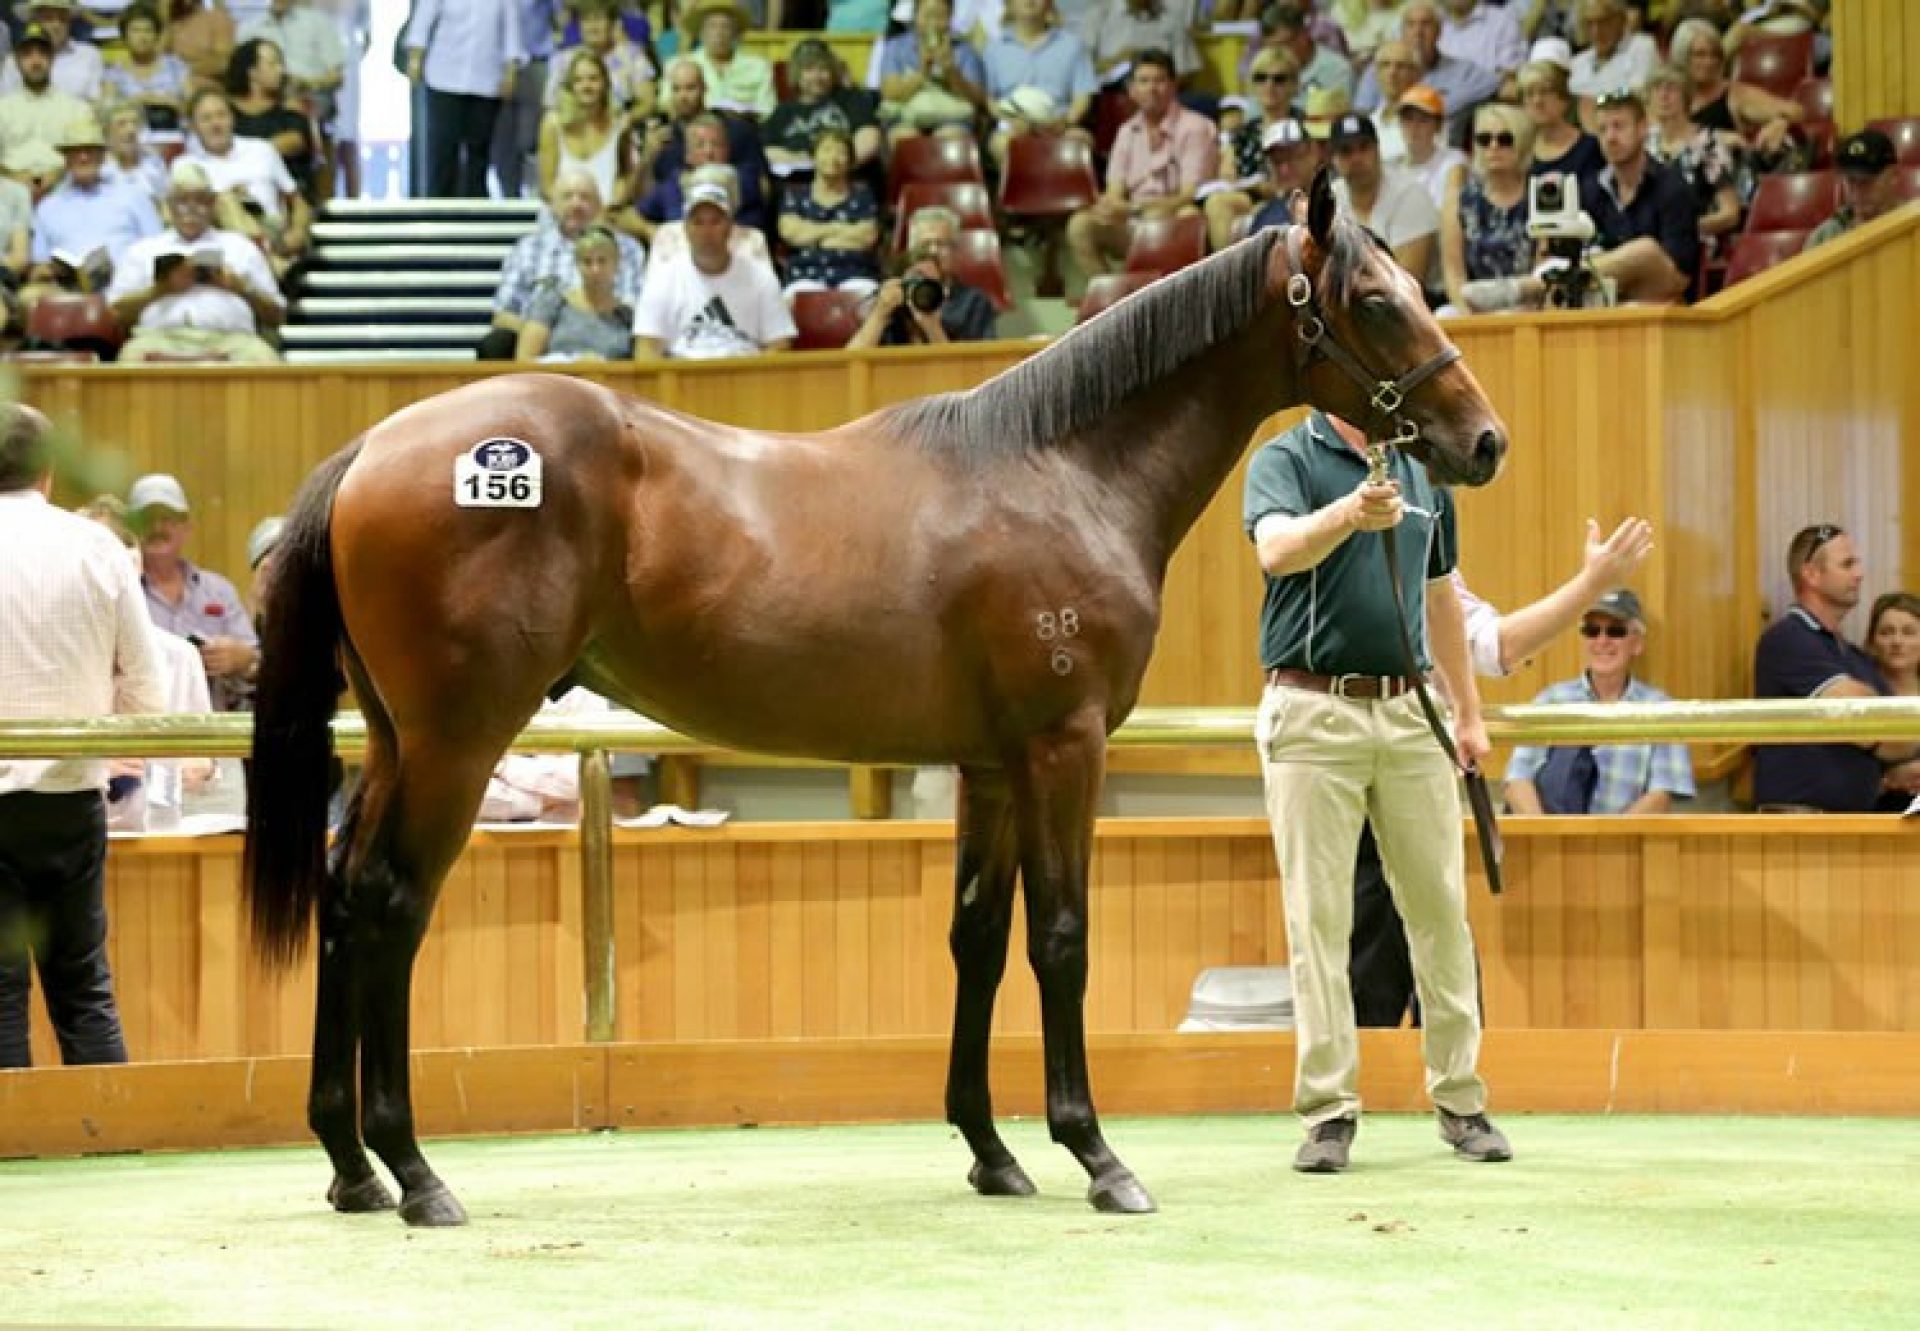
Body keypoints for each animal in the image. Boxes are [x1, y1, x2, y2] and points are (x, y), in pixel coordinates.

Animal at [240, 173, 1505, 1221]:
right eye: (1378, 302)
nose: (1484, 441)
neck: (1061, 470)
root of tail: (372, 448)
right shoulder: (1063, 749)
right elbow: (1060, 939)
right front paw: (1097, 1155)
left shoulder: (990, 763)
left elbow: (976, 939)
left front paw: (992, 1151)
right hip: (457, 744)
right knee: (391, 906)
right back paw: (415, 1171)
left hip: (394, 740)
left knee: (344, 900)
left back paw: (349, 1165)